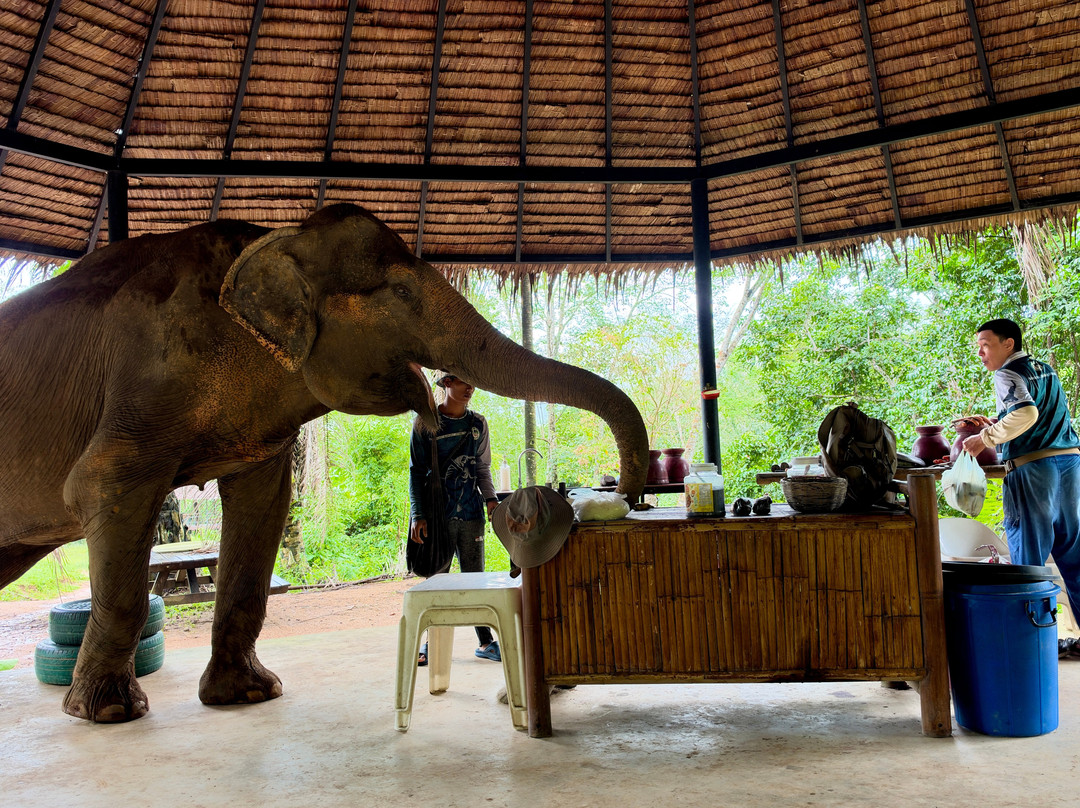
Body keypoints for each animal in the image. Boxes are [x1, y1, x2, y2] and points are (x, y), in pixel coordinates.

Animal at [0, 203, 649, 723]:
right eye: (401, 294)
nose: (622, 495)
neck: (274, 236)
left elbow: (262, 508)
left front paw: (249, 695)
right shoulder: (146, 376)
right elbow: (103, 487)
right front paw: (109, 713)